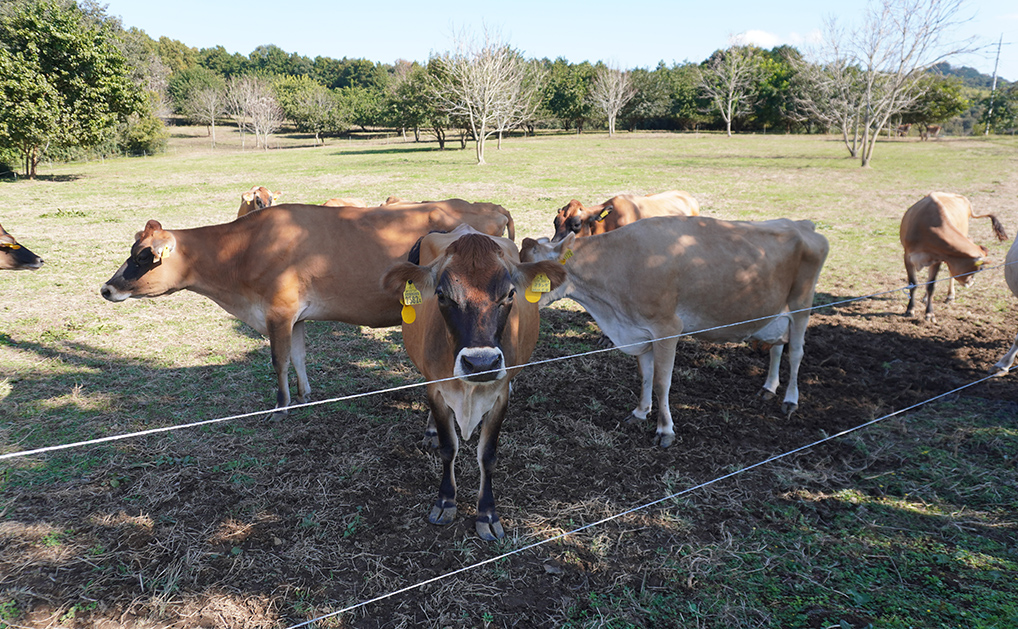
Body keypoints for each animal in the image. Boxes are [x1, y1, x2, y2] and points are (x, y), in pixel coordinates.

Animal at [99, 203, 517, 417]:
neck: (242, 250)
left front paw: (281, 406)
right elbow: (299, 357)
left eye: (143, 257)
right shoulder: (295, 317)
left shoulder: (277, 312)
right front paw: (305, 394)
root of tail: (487, 206)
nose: (107, 288)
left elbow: (279, 360)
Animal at [384, 224, 570, 537]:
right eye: (442, 295)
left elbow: (488, 455)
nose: (481, 363)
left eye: (510, 294)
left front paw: (487, 514)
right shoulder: (437, 390)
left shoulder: (500, 395)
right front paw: (446, 501)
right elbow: (449, 447)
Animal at [521, 214, 830, 445]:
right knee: (777, 347)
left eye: (532, 275)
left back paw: (790, 400)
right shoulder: (640, 331)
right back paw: (768, 387)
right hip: (776, 311)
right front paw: (640, 413)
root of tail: (802, 224)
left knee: (796, 352)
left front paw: (665, 430)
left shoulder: (667, 328)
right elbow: (645, 376)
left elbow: (661, 381)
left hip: (802, 304)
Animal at [903, 191, 1005, 321]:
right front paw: (910, 309)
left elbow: (931, 286)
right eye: (980, 268)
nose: (970, 282)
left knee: (949, 274)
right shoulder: (907, 256)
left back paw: (950, 296)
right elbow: (913, 284)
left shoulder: (938, 259)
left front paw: (929, 313)